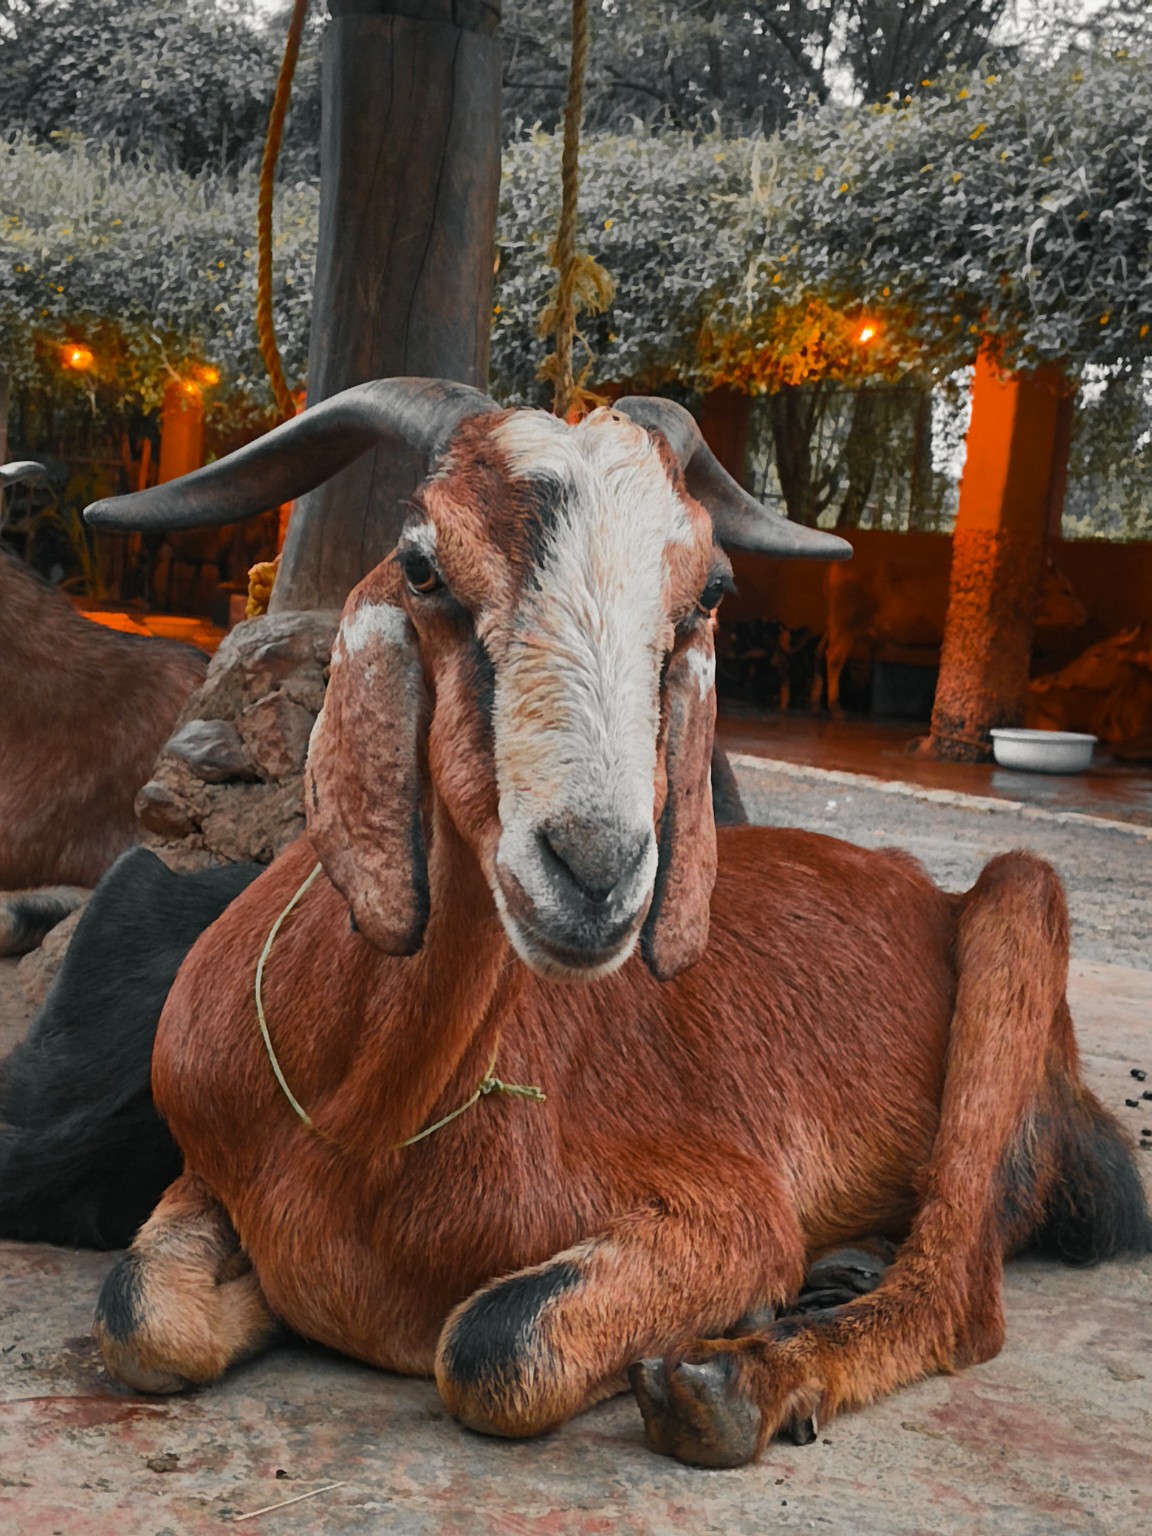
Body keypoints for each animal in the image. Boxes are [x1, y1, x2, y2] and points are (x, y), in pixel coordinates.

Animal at [81, 380, 1148, 1466]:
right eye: (422, 566)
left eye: (708, 591)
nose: (596, 869)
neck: (360, 1118)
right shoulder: (207, 1164)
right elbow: (141, 1317)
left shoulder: (733, 1212)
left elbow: (491, 1343)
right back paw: (842, 1268)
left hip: (1018, 905)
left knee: (963, 1289)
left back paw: (740, 1378)